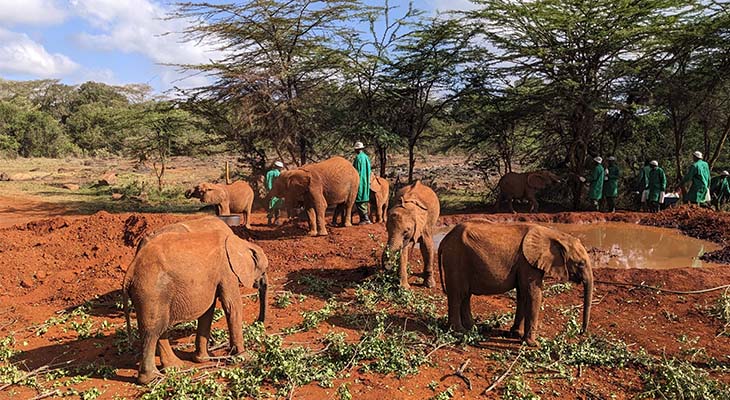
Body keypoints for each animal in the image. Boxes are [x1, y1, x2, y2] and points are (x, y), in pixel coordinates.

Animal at [123, 228, 268, 384]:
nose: (257, 322)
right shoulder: (227, 271)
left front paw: (202, 359)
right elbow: (232, 306)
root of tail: (130, 270)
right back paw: (152, 378)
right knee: (153, 330)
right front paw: (245, 357)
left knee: (157, 328)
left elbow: (208, 311)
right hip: (151, 290)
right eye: (264, 271)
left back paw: (175, 367)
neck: (241, 242)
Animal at [438, 222, 592, 346]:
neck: (554, 235)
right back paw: (459, 332)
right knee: (457, 295)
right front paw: (533, 344)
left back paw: (473, 328)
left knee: (465, 295)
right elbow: (533, 295)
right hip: (455, 259)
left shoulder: (525, 264)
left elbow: (523, 294)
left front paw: (516, 334)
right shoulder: (528, 263)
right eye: (581, 263)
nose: (581, 332)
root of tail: (445, 239)